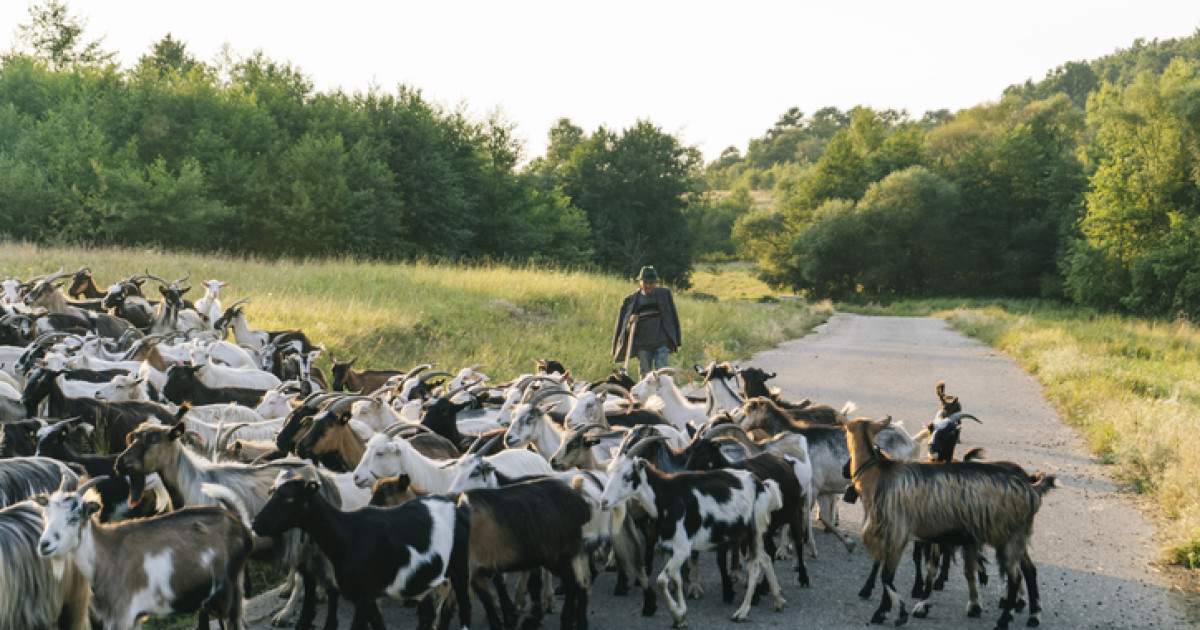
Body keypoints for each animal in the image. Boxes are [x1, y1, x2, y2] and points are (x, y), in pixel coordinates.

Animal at [37, 477, 253, 628]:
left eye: (74, 518)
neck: (105, 553)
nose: (44, 545)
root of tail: (237, 520)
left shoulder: (122, 614)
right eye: (46, 514)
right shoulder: (132, 618)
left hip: (229, 593)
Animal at [844, 415, 1051, 624]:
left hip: (1007, 537)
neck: (877, 474)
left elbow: (887, 576)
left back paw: (1006, 619)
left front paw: (892, 612)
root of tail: (1032, 489)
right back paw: (1030, 614)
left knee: (1016, 575)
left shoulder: (895, 533)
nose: (845, 471)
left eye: (951, 431)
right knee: (1026, 570)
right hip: (1015, 537)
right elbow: (897, 572)